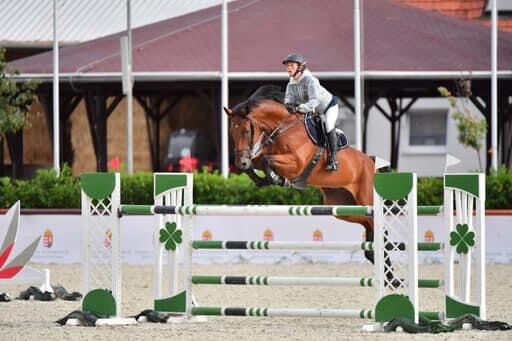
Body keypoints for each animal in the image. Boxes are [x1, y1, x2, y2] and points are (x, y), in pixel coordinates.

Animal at [226, 83, 378, 264]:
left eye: (246, 131)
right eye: (231, 132)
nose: (240, 163)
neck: (282, 127)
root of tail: (371, 162)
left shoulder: (296, 163)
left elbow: (266, 161)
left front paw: (279, 179)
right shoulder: (263, 154)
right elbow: (258, 162)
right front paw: (264, 179)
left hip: (366, 200)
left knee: (374, 221)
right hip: (344, 207)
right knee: (367, 221)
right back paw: (373, 255)